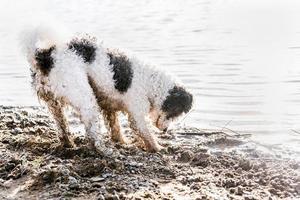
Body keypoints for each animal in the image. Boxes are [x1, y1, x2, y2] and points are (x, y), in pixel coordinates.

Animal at [21, 26, 195, 153]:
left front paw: (122, 142)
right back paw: (104, 151)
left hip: (54, 104)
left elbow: (115, 128)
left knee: (62, 126)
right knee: (92, 135)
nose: (165, 130)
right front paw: (157, 148)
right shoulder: (137, 115)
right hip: (86, 100)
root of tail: (46, 57)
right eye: (175, 113)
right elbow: (145, 133)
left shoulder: (109, 108)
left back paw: (68, 144)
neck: (152, 84)